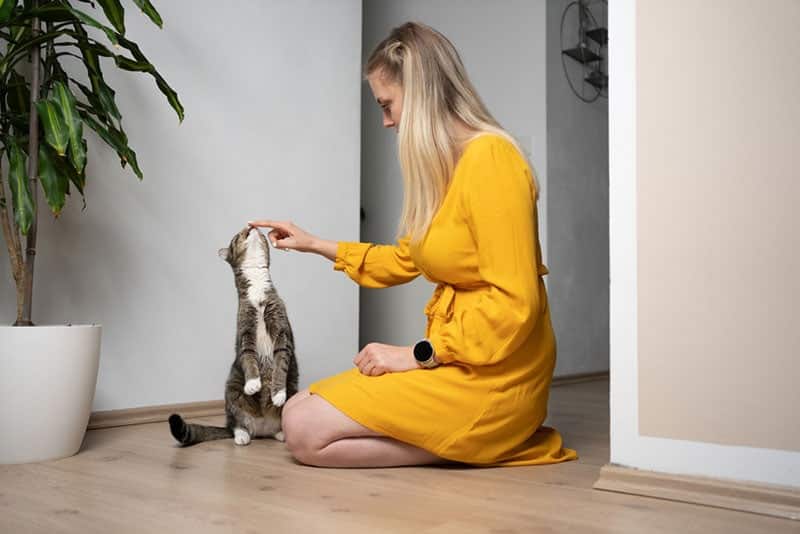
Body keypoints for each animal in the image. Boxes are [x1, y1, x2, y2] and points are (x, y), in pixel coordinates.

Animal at [167, 226, 298, 448]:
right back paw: (242, 436)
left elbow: (280, 363)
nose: (251, 226)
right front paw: (253, 383)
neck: (257, 288)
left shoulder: (281, 330)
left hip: (293, 389)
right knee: (235, 424)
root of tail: (262, 429)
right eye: (238, 235)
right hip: (232, 390)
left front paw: (278, 394)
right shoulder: (245, 331)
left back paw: (281, 433)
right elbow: (248, 357)